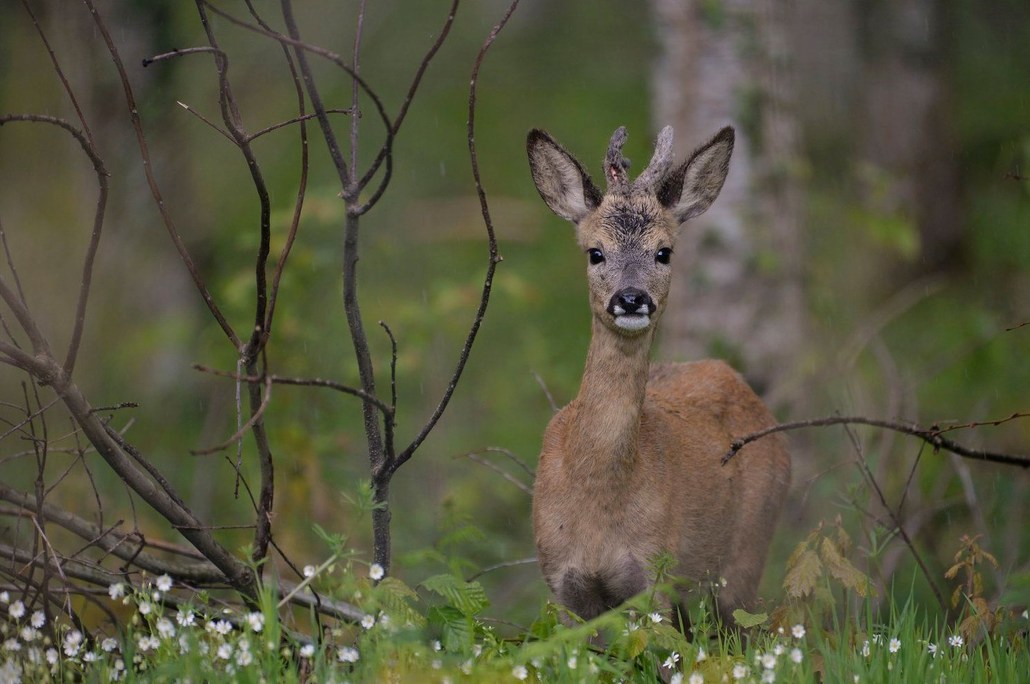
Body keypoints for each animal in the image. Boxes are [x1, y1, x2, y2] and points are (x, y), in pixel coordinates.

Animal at [527, 125, 791, 626]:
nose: (632, 298)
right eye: (595, 253)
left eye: (663, 252)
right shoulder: (562, 586)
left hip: (748, 553)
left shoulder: (653, 575)